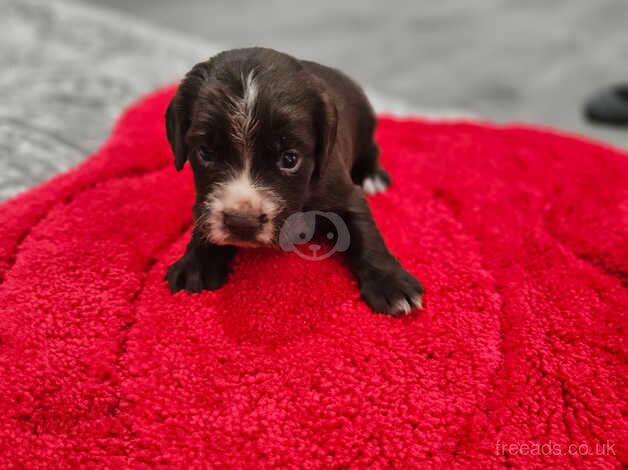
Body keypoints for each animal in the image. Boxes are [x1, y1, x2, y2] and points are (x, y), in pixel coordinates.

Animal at [164, 47, 424, 316]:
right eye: (206, 153)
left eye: (289, 159)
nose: (242, 223)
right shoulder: (204, 202)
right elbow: (202, 219)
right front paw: (196, 263)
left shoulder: (342, 190)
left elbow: (364, 231)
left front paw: (390, 282)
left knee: (371, 149)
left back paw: (373, 175)